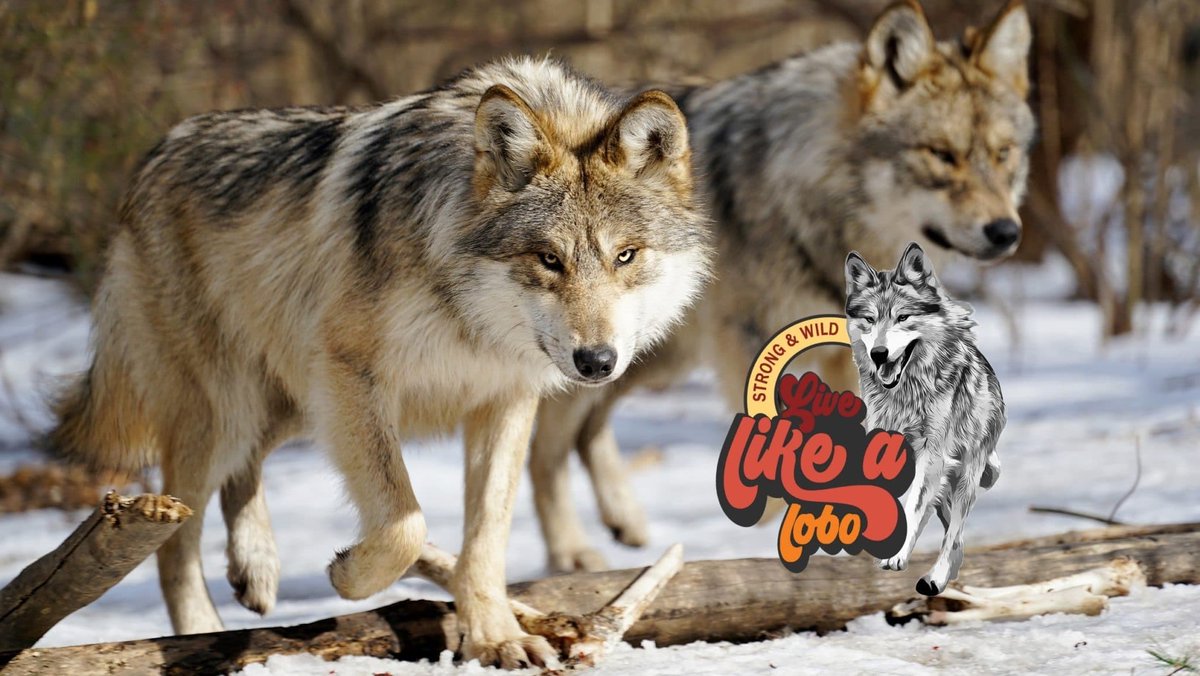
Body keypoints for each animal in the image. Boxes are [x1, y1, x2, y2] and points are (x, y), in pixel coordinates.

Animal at [48, 57, 709, 667]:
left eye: (626, 255)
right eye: (548, 259)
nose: (597, 361)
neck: (467, 312)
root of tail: (156, 153)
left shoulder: (503, 401)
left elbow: (486, 536)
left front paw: (495, 637)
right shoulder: (353, 376)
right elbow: (402, 523)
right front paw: (348, 575)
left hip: (292, 400)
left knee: (243, 473)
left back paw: (256, 569)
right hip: (231, 406)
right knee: (176, 537)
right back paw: (201, 629)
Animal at [845, 241, 1005, 596]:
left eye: (902, 317)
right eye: (870, 320)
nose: (878, 354)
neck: (906, 395)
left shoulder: (932, 455)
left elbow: (913, 506)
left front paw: (895, 556)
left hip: (966, 475)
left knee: (954, 533)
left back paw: (935, 579)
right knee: (954, 537)